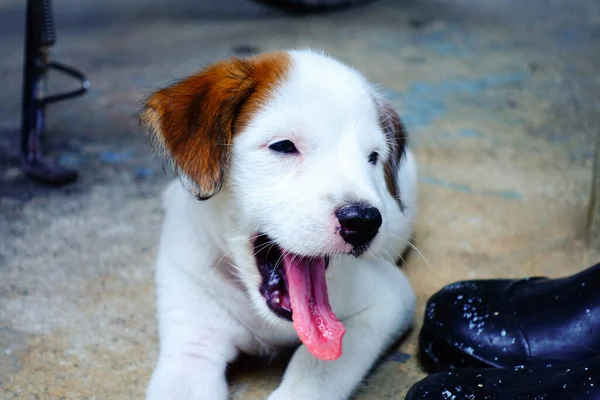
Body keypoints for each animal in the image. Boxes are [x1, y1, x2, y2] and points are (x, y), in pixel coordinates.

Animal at [142, 49, 418, 400]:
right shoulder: (191, 349)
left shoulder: (387, 301)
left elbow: (315, 370)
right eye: (284, 146)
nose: (364, 222)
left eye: (372, 157)